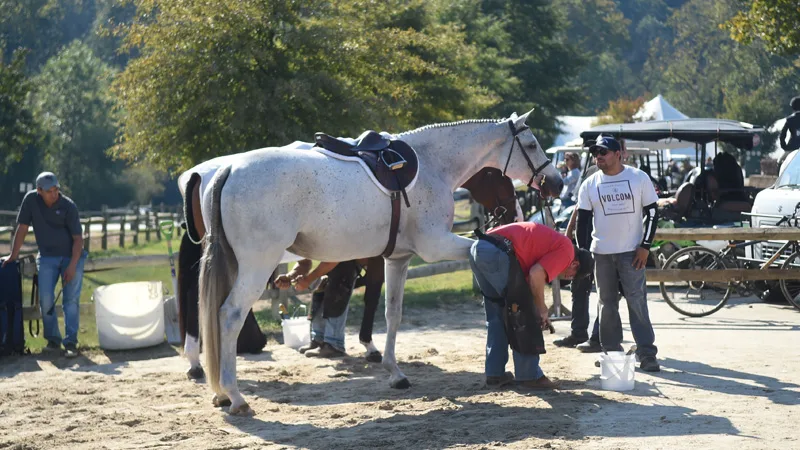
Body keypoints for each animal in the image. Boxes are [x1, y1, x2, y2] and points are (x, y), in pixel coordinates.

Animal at [198, 111, 564, 414]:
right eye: (531, 145)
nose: (556, 183)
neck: (432, 165)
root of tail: (228, 170)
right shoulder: (437, 246)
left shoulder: (398, 259)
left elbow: (392, 314)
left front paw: (394, 372)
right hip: (257, 266)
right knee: (230, 316)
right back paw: (235, 397)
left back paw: (221, 393)